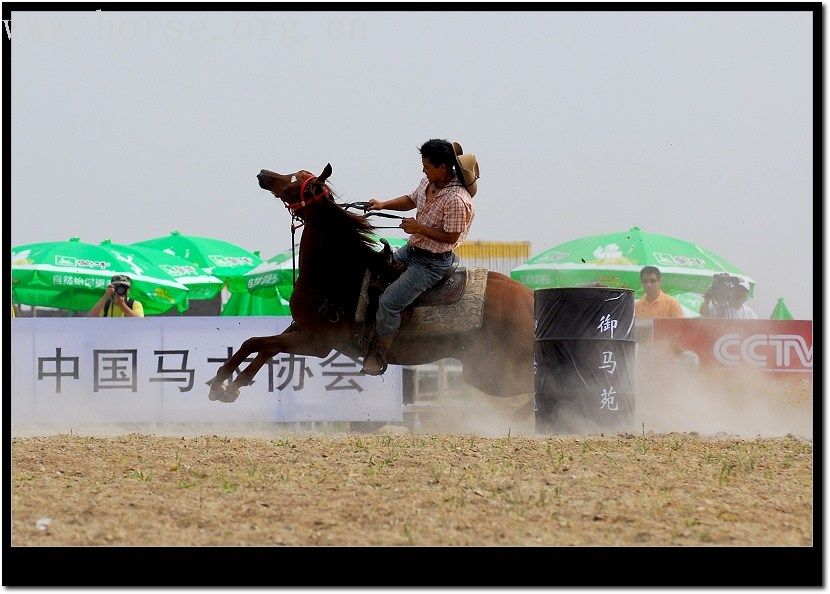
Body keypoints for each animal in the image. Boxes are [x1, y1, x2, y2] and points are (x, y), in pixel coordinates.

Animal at [206, 162, 536, 402]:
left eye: (294, 181)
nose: (264, 174)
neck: (338, 274)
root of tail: (529, 298)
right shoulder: (298, 329)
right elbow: (260, 347)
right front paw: (228, 385)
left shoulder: (316, 342)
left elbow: (258, 343)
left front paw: (221, 381)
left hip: (492, 372)